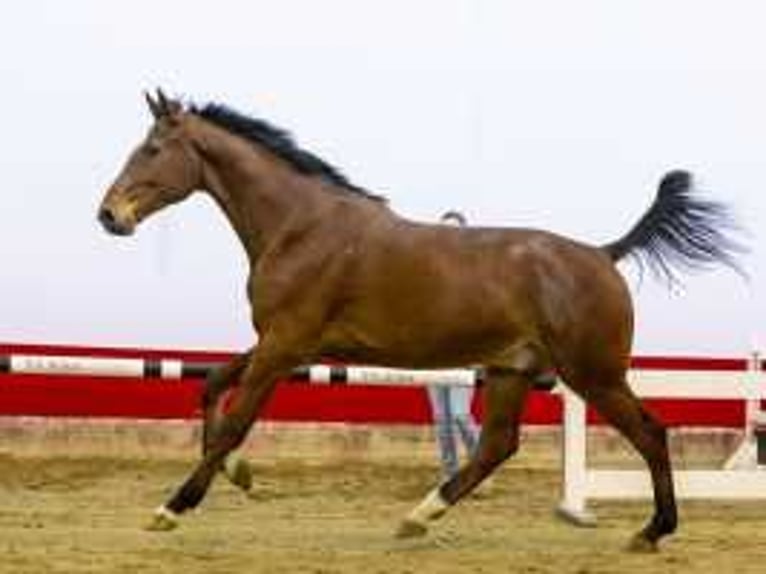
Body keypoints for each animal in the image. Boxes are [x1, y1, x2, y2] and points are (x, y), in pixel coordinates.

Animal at [96, 90, 744, 552]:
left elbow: (234, 420)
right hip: (511, 370)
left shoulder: (284, 346)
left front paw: (172, 507)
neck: (301, 227)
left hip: (594, 376)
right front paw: (241, 475)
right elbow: (210, 385)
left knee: (650, 432)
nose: (109, 215)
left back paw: (652, 531)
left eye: (151, 150)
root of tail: (606, 254)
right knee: (497, 446)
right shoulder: (281, 344)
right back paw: (418, 517)